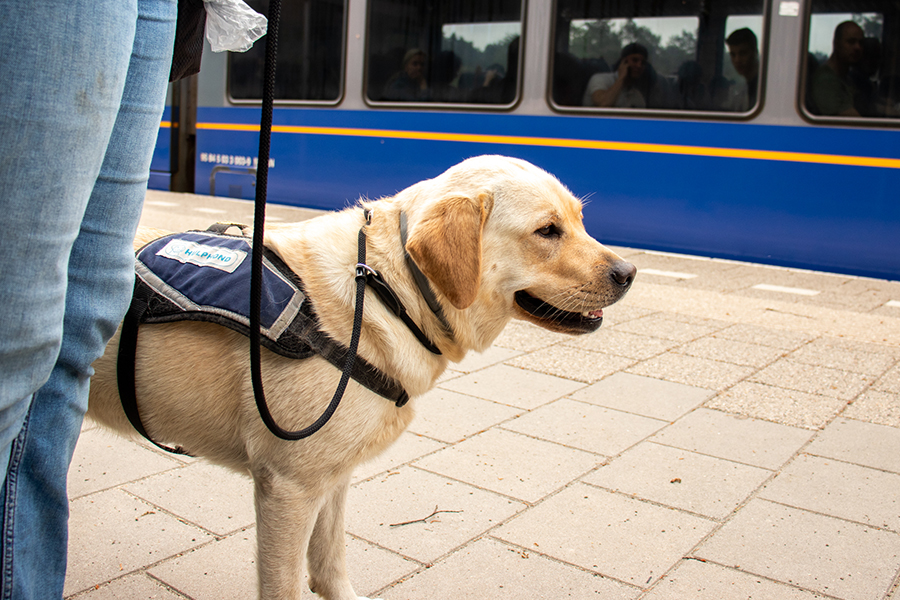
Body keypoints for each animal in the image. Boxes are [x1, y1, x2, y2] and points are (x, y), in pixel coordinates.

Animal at [84, 156, 632, 600]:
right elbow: (284, 586)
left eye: (580, 220)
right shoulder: (288, 485)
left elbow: (329, 563)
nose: (628, 273)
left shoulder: (332, 475)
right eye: (547, 231)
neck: (387, 290)